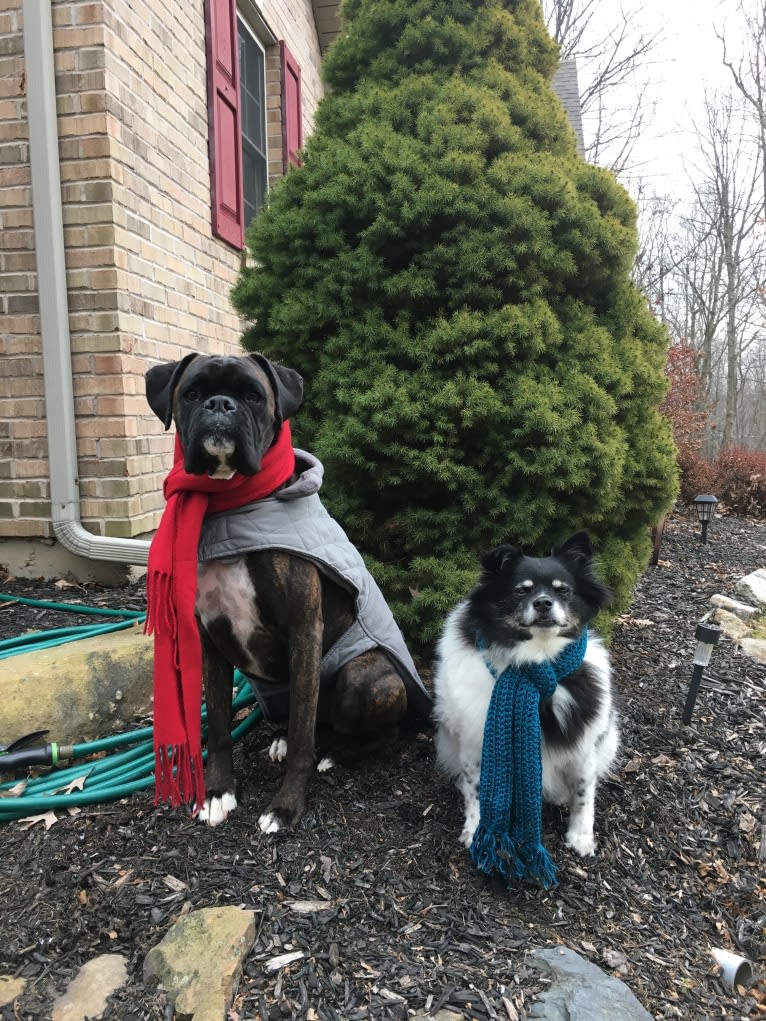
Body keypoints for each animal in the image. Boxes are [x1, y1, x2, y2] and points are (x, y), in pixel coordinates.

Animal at [147, 355, 428, 833]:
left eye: (253, 395)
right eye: (192, 393)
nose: (220, 405)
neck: (233, 508)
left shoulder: (304, 631)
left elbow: (302, 739)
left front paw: (285, 806)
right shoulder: (211, 640)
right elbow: (219, 724)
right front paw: (218, 792)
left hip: (361, 680)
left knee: (370, 731)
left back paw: (336, 754)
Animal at [435, 535, 620, 861]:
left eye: (563, 590)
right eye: (522, 590)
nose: (544, 602)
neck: (535, 662)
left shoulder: (584, 748)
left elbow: (584, 793)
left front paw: (581, 836)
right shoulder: (474, 744)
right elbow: (476, 789)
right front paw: (476, 829)